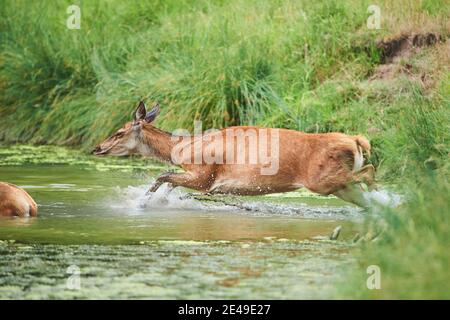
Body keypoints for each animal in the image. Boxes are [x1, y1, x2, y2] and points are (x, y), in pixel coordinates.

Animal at [95, 102, 376, 208]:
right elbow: (170, 181)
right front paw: (158, 201)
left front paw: (141, 203)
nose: (97, 147)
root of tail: (354, 140)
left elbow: (163, 175)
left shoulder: (205, 177)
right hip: (337, 184)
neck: (185, 150)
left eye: (119, 132)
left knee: (369, 172)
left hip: (320, 180)